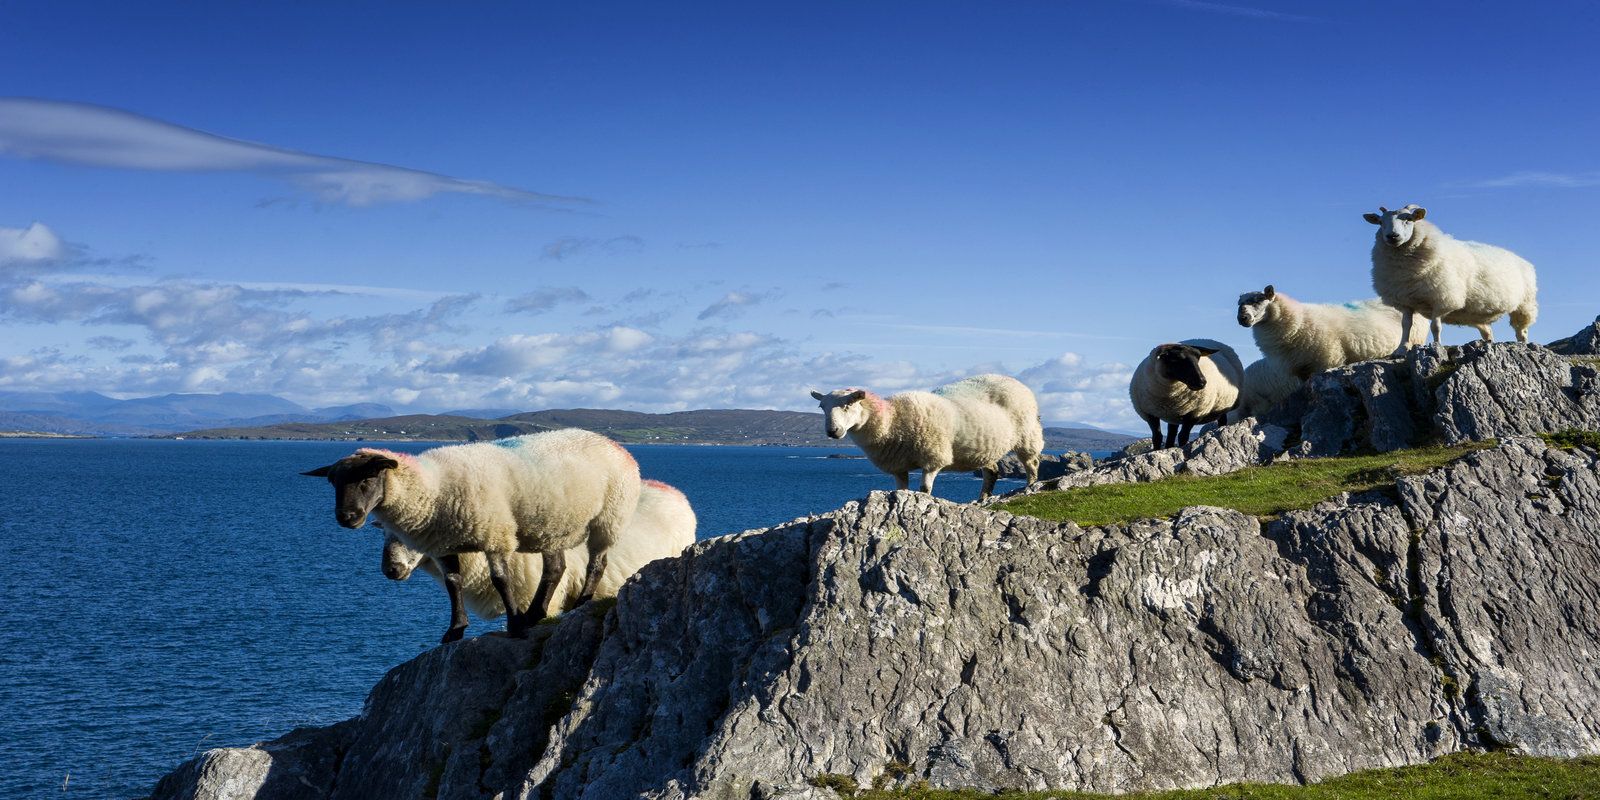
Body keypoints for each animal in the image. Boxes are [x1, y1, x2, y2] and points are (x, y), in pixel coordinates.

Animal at [302, 428, 640, 640]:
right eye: (332, 482)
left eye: (368, 479)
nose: (346, 518)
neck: (434, 487)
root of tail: (613, 443)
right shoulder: (441, 545)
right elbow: (454, 584)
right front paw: (455, 630)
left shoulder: (496, 534)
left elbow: (501, 580)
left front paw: (514, 625)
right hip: (550, 525)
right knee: (555, 569)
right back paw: (536, 614)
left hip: (608, 518)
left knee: (596, 563)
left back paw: (580, 604)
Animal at [812, 371, 1049, 496]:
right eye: (822, 407)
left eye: (847, 406)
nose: (832, 431)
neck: (893, 420)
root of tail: (1011, 379)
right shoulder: (897, 466)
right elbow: (902, 490)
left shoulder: (933, 458)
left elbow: (924, 489)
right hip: (985, 448)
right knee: (992, 472)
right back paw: (982, 499)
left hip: (1028, 435)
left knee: (1032, 464)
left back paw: (1030, 487)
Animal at [1228, 283, 1420, 379]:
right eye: (1239, 303)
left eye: (1258, 300)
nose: (1242, 318)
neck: (1298, 321)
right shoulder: (1299, 370)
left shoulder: (1327, 361)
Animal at [1363, 203, 1536, 353]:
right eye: (1381, 222)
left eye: (1409, 219)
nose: (1392, 236)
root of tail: (1522, 260)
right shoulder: (1405, 301)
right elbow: (1406, 325)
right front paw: (1401, 348)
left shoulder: (1442, 298)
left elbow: (1435, 326)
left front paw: (1436, 345)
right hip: (1480, 317)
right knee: (1488, 333)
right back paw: (1489, 344)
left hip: (1524, 304)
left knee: (1522, 331)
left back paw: (1524, 345)